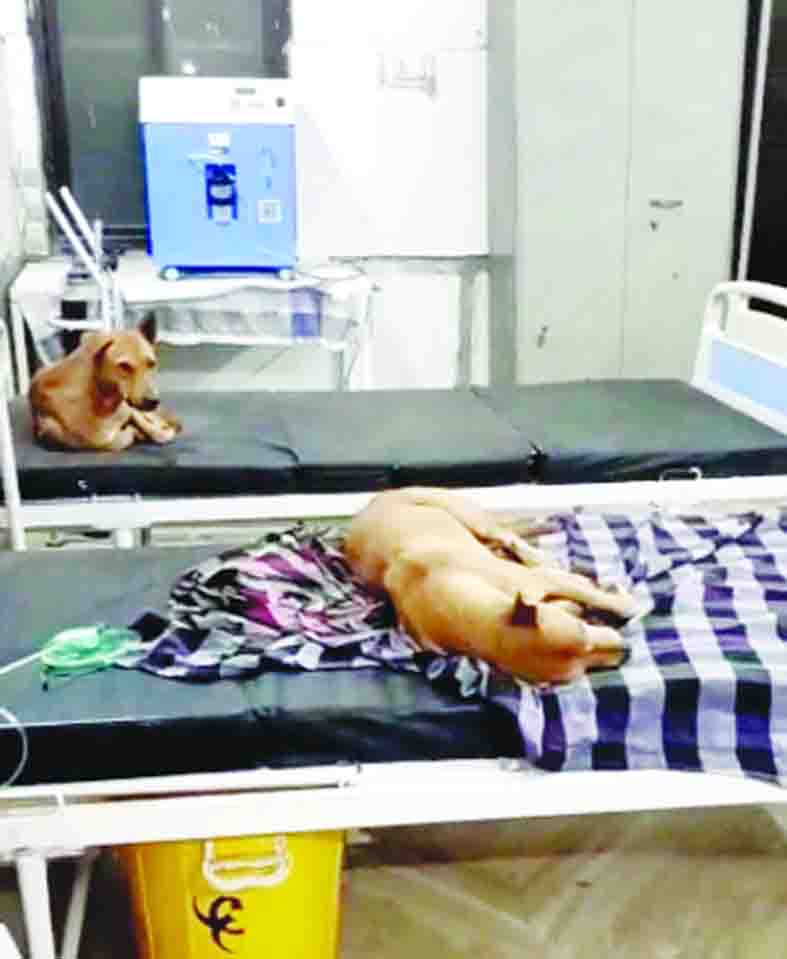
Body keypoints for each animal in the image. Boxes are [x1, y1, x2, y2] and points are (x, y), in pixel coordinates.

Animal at [29, 313, 181, 452]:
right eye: (124, 366)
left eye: (151, 363)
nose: (153, 401)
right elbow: (115, 440)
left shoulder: (128, 410)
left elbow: (144, 427)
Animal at [344, 487, 638, 685]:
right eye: (585, 667)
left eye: (583, 631)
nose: (627, 652)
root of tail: (371, 503)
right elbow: (573, 600)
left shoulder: (538, 581)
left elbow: (591, 594)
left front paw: (619, 604)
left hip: (467, 516)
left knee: (508, 537)